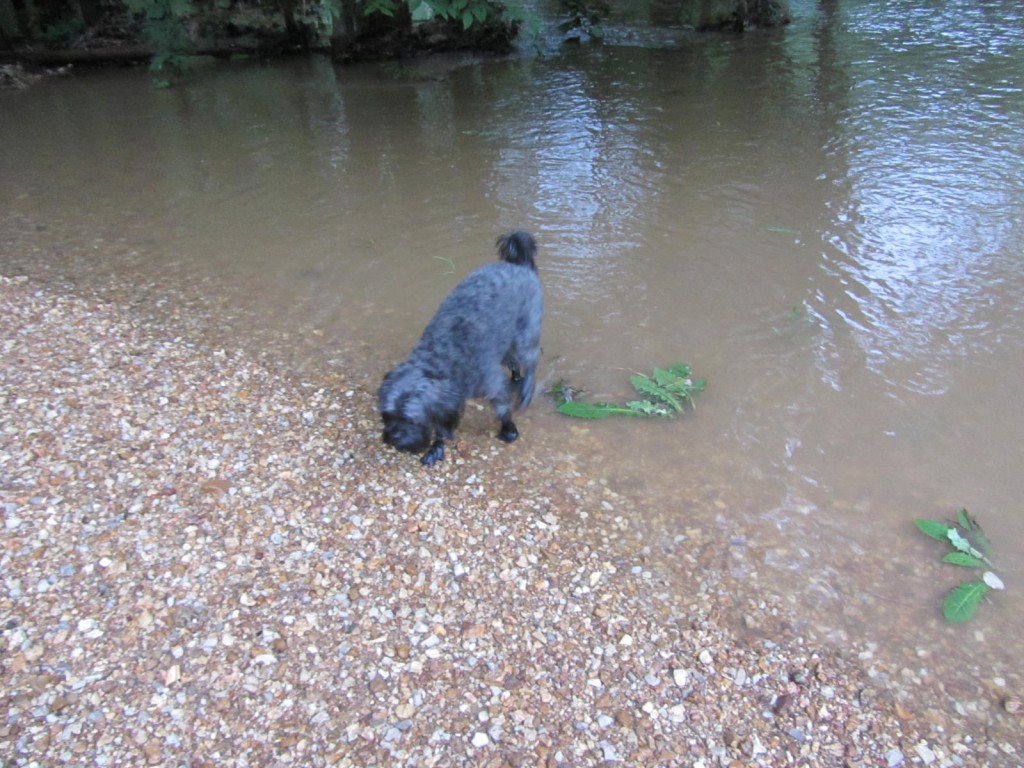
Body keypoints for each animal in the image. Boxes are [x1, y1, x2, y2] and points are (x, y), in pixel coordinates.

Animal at [378, 228, 544, 466]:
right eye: (387, 415)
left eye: (412, 420)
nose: (393, 438)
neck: (441, 358)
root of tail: (517, 265)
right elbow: (441, 424)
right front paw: (437, 446)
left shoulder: (491, 383)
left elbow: (502, 409)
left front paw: (509, 430)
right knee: (514, 365)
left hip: (525, 337)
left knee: (530, 365)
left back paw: (525, 391)